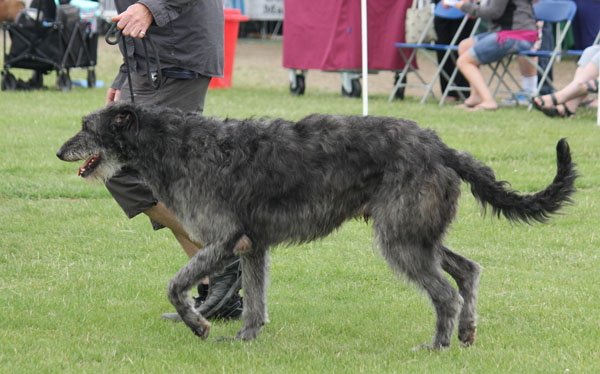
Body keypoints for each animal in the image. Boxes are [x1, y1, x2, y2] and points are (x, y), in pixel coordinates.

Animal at [56, 102, 576, 348]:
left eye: (86, 125)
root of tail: (438, 144)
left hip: (401, 238)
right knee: (467, 269)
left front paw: (199, 325)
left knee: (445, 292)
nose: (60, 150)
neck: (175, 143)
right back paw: (465, 333)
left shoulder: (225, 237)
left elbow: (174, 285)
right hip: (415, 231)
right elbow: (255, 300)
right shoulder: (252, 244)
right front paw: (244, 338)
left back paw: (438, 346)